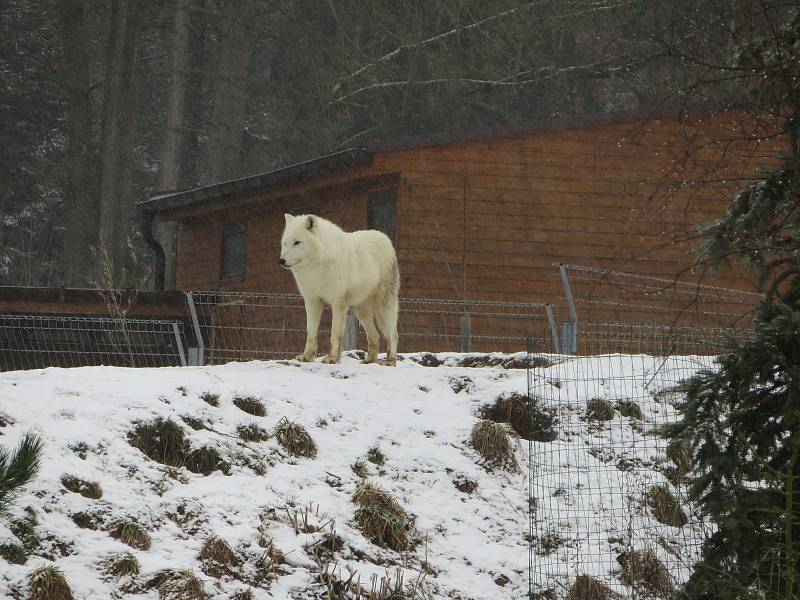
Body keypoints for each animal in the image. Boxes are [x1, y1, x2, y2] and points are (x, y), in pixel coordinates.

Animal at [280, 216, 400, 366]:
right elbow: (311, 333)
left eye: (297, 242)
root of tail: (385, 238)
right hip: (362, 312)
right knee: (375, 335)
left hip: (384, 305)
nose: (281, 260)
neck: (317, 265)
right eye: (285, 243)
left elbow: (335, 334)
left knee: (393, 335)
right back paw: (369, 361)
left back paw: (390, 361)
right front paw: (306, 357)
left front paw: (332, 358)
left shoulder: (338, 303)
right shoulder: (312, 301)